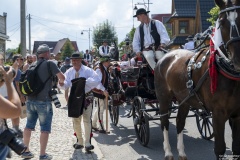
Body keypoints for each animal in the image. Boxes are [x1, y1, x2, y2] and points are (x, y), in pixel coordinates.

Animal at [155, 0, 239, 160]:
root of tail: (165, 56)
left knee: (179, 122)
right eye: (222, 23)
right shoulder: (218, 114)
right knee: (164, 122)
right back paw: (168, 152)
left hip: (184, 100)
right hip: (164, 98)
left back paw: (181, 152)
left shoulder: (237, 114)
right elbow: (220, 148)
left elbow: (236, 148)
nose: (238, 58)